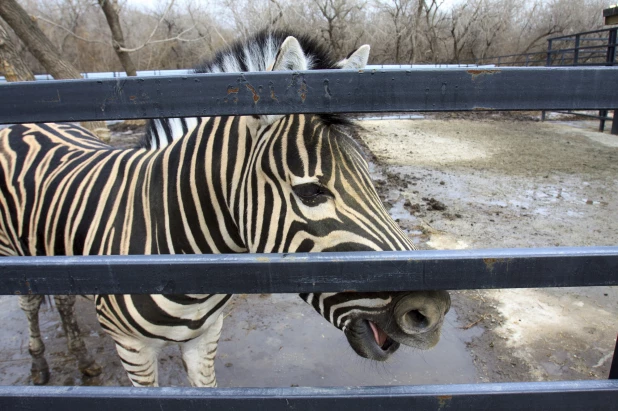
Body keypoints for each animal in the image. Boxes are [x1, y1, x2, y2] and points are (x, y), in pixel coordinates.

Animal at [0, 30, 448, 388]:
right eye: (311, 192)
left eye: (371, 181)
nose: (432, 311)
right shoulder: (132, 348)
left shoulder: (205, 337)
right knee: (29, 304)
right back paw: (39, 366)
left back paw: (82, 359)